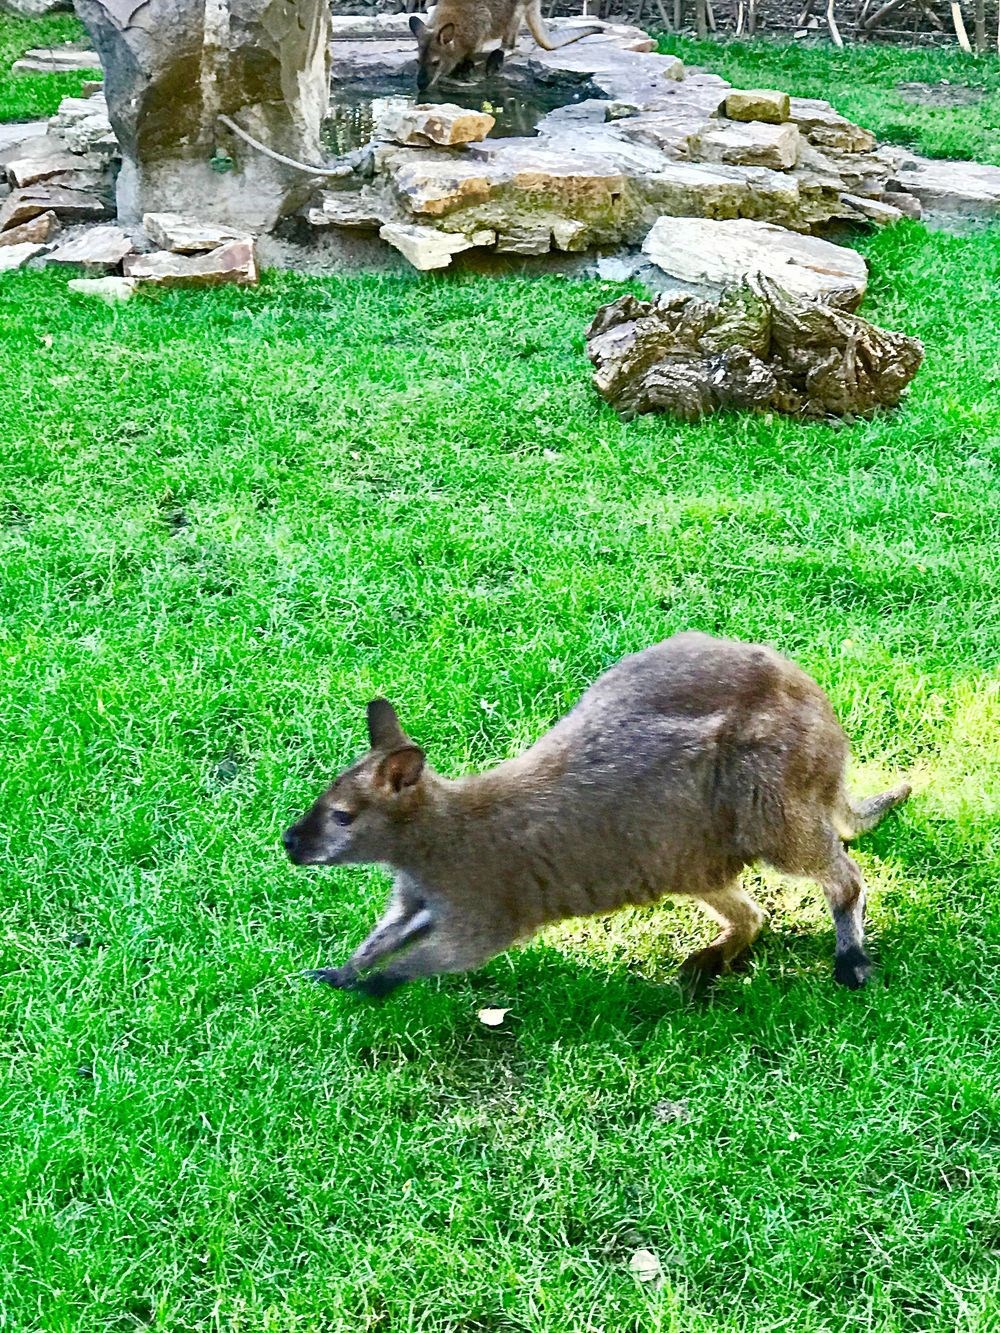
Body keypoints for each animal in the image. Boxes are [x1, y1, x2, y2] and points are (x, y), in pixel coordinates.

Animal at [283, 632, 912, 998]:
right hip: (685, 850)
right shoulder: (418, 898)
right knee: (753, 913)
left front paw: (378, 985)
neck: (432, 836)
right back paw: (708, 963)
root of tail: (825, 723)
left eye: (341, 817)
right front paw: (342, 972)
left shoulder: (481, 906)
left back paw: (851, 960)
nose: (288, 843)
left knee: (841, 876)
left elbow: (445, 954)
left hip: (763, 795)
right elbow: (387, 934)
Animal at [409, 1, 604, 91]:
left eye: (435, 62)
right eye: (418, 61)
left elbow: (472, 52)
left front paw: (464, 67)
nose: (420, 85)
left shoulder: (480, 26)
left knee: (510, 44)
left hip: (516, 9)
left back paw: (496, 57)